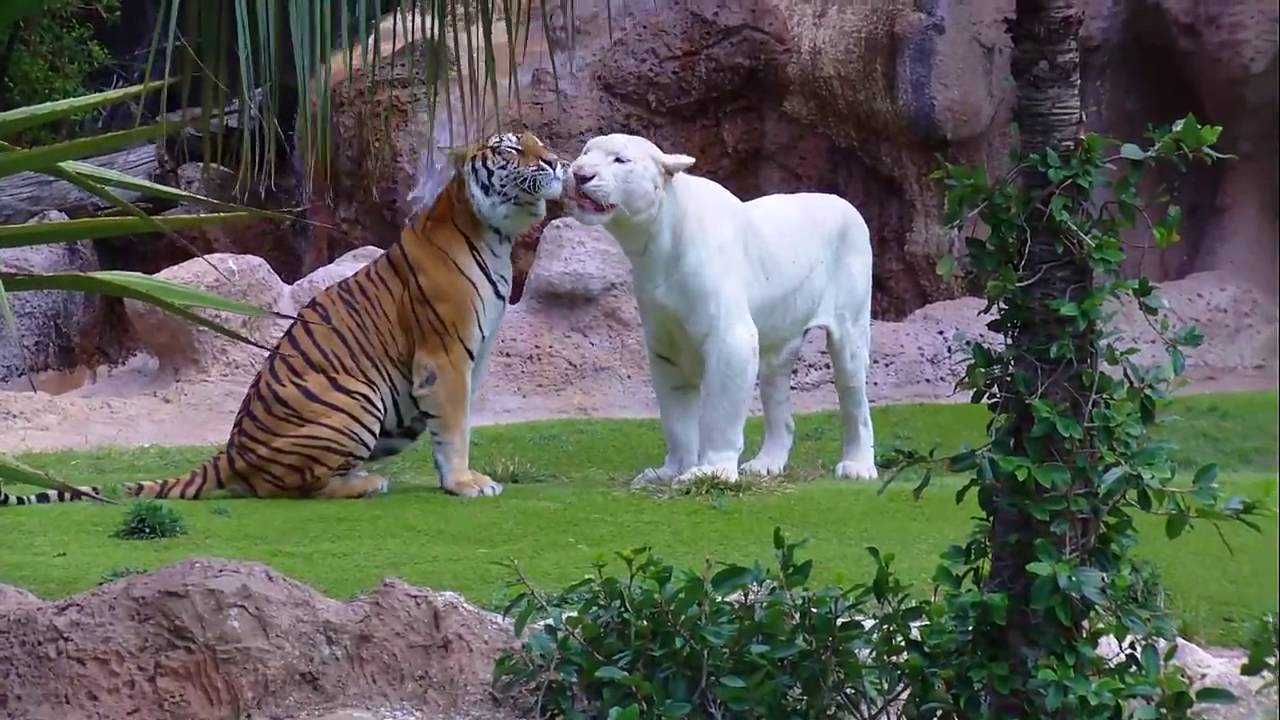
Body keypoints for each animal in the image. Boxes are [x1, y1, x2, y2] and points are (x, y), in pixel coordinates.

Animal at [114, 130, 565, 501]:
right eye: (508, 149)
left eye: (539, 142)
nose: (555, 161)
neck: (495, 234)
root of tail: (231, 450)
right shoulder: (445, 356)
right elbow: (454, 426)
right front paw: (465, 484)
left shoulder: (476, 353)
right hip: (358, 398)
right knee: (292, 487)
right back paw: (367, 483)